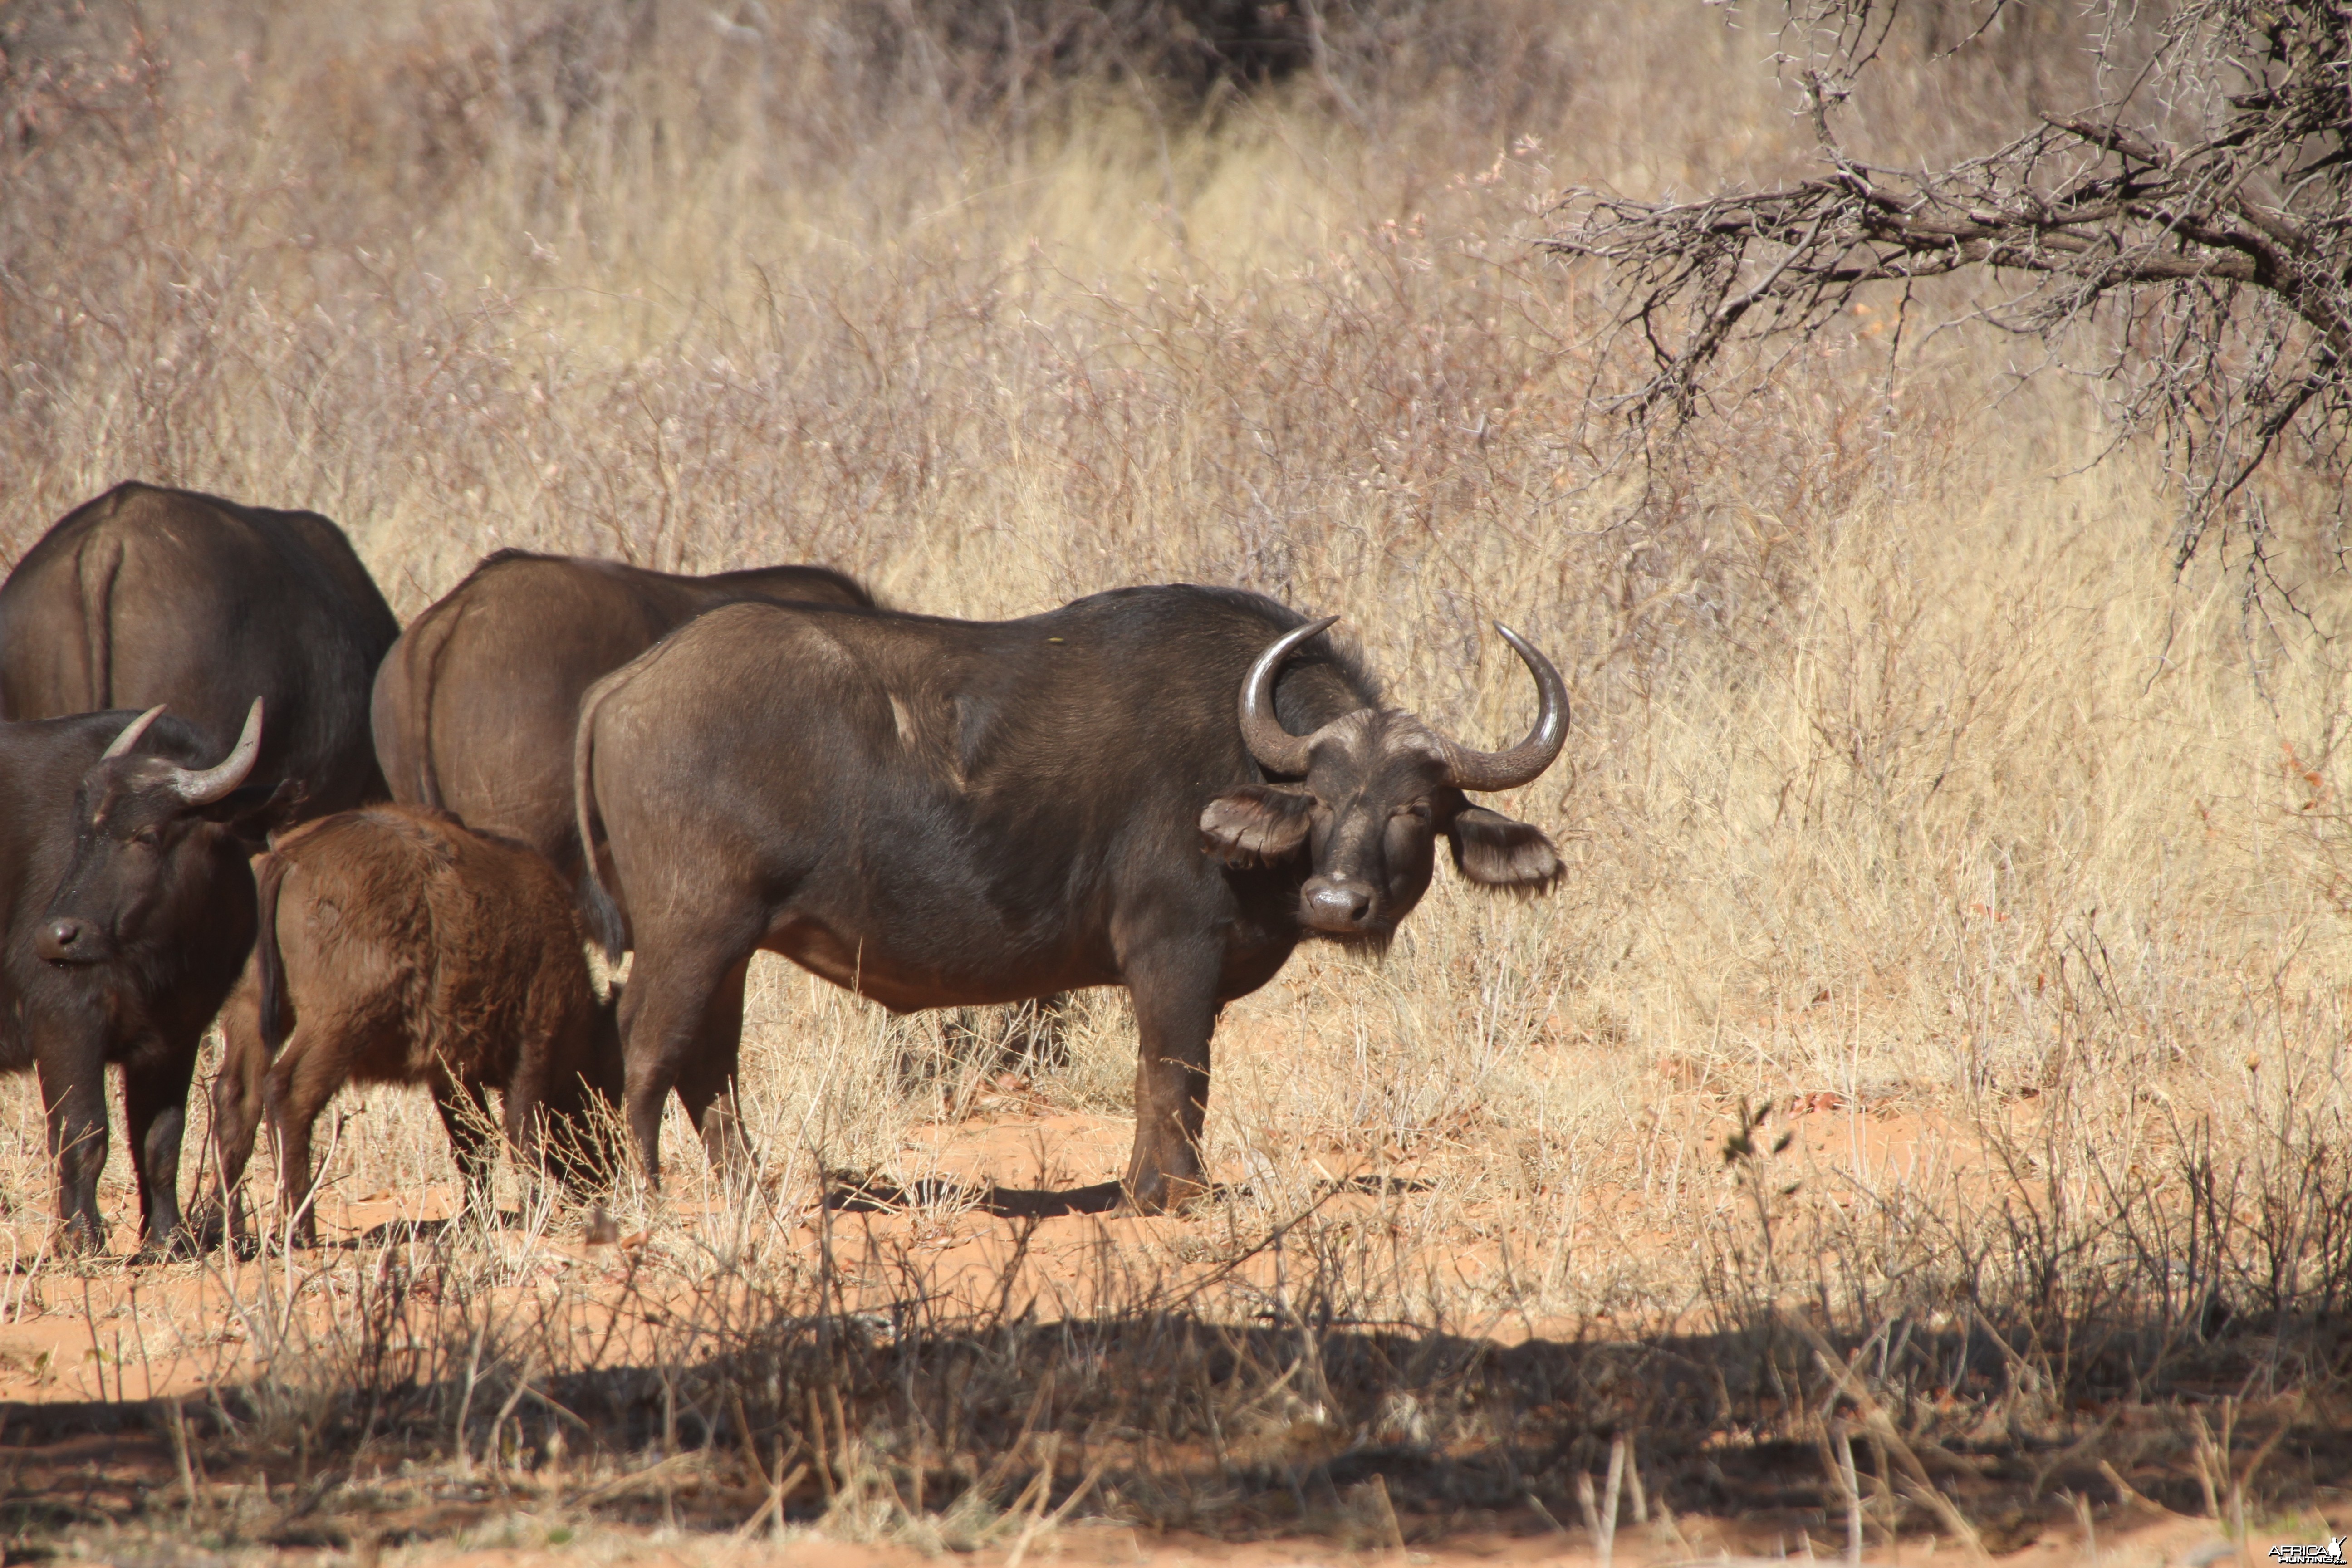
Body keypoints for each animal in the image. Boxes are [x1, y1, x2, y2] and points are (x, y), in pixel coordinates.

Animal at [1, 705, 281, 1260]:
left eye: (146, 835)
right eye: (81, 836)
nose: (55, 937)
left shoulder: (176, 1035)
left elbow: (161, 1140)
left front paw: (168, 1238)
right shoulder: (65, 1023)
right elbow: (82, 1132)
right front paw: (82, 1237)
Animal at [205, 808, 625, 1250]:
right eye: (603, 1095)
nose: (606, 1179)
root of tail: (288, 858)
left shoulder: (451, 1074)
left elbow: (473, 1146)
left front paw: (477, 1217)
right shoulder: (535, 1044)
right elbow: (522, 1135)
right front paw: (533, 1209)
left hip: (250, 1012)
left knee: (236, 1098)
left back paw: (226, 1229)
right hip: (340, 1027)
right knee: (287, 1094)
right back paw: (299, 1229)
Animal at [569, 583, 1562, 1213]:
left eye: (1413, 808)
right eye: (1318, 798)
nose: (1336, 900)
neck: (1238, 755)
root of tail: (626, 683)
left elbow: (1172, 1077)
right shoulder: (1172, 953)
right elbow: (1174, 1071)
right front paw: (1167, 1194)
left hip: (730, 948)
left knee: (709, 1066)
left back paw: (749, 1192)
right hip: (691, 934)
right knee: (648, 1047)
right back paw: (646, 1198)